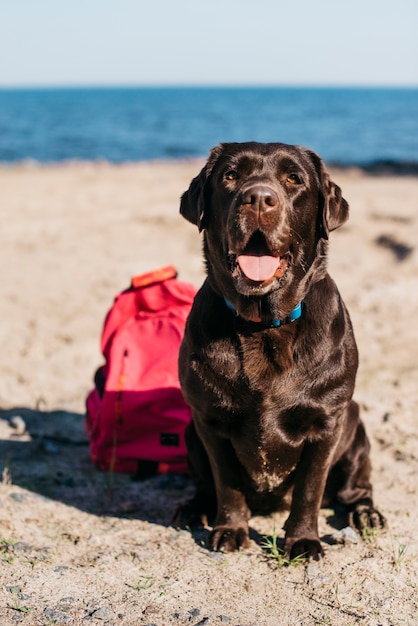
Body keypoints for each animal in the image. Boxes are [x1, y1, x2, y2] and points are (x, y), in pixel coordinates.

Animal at [174, 141, 386, 556]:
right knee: (205, 483)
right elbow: (227, 483)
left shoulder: (326, 424)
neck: (263, 325)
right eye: (230, 176)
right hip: (190, 431)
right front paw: (230, 529)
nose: (258, 198)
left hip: (355, 429)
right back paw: (193, 508)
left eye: (293, 179)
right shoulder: (209, 420)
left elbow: (310, 489)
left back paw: (366, 513)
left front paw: (302, 540)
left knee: (355, 487)